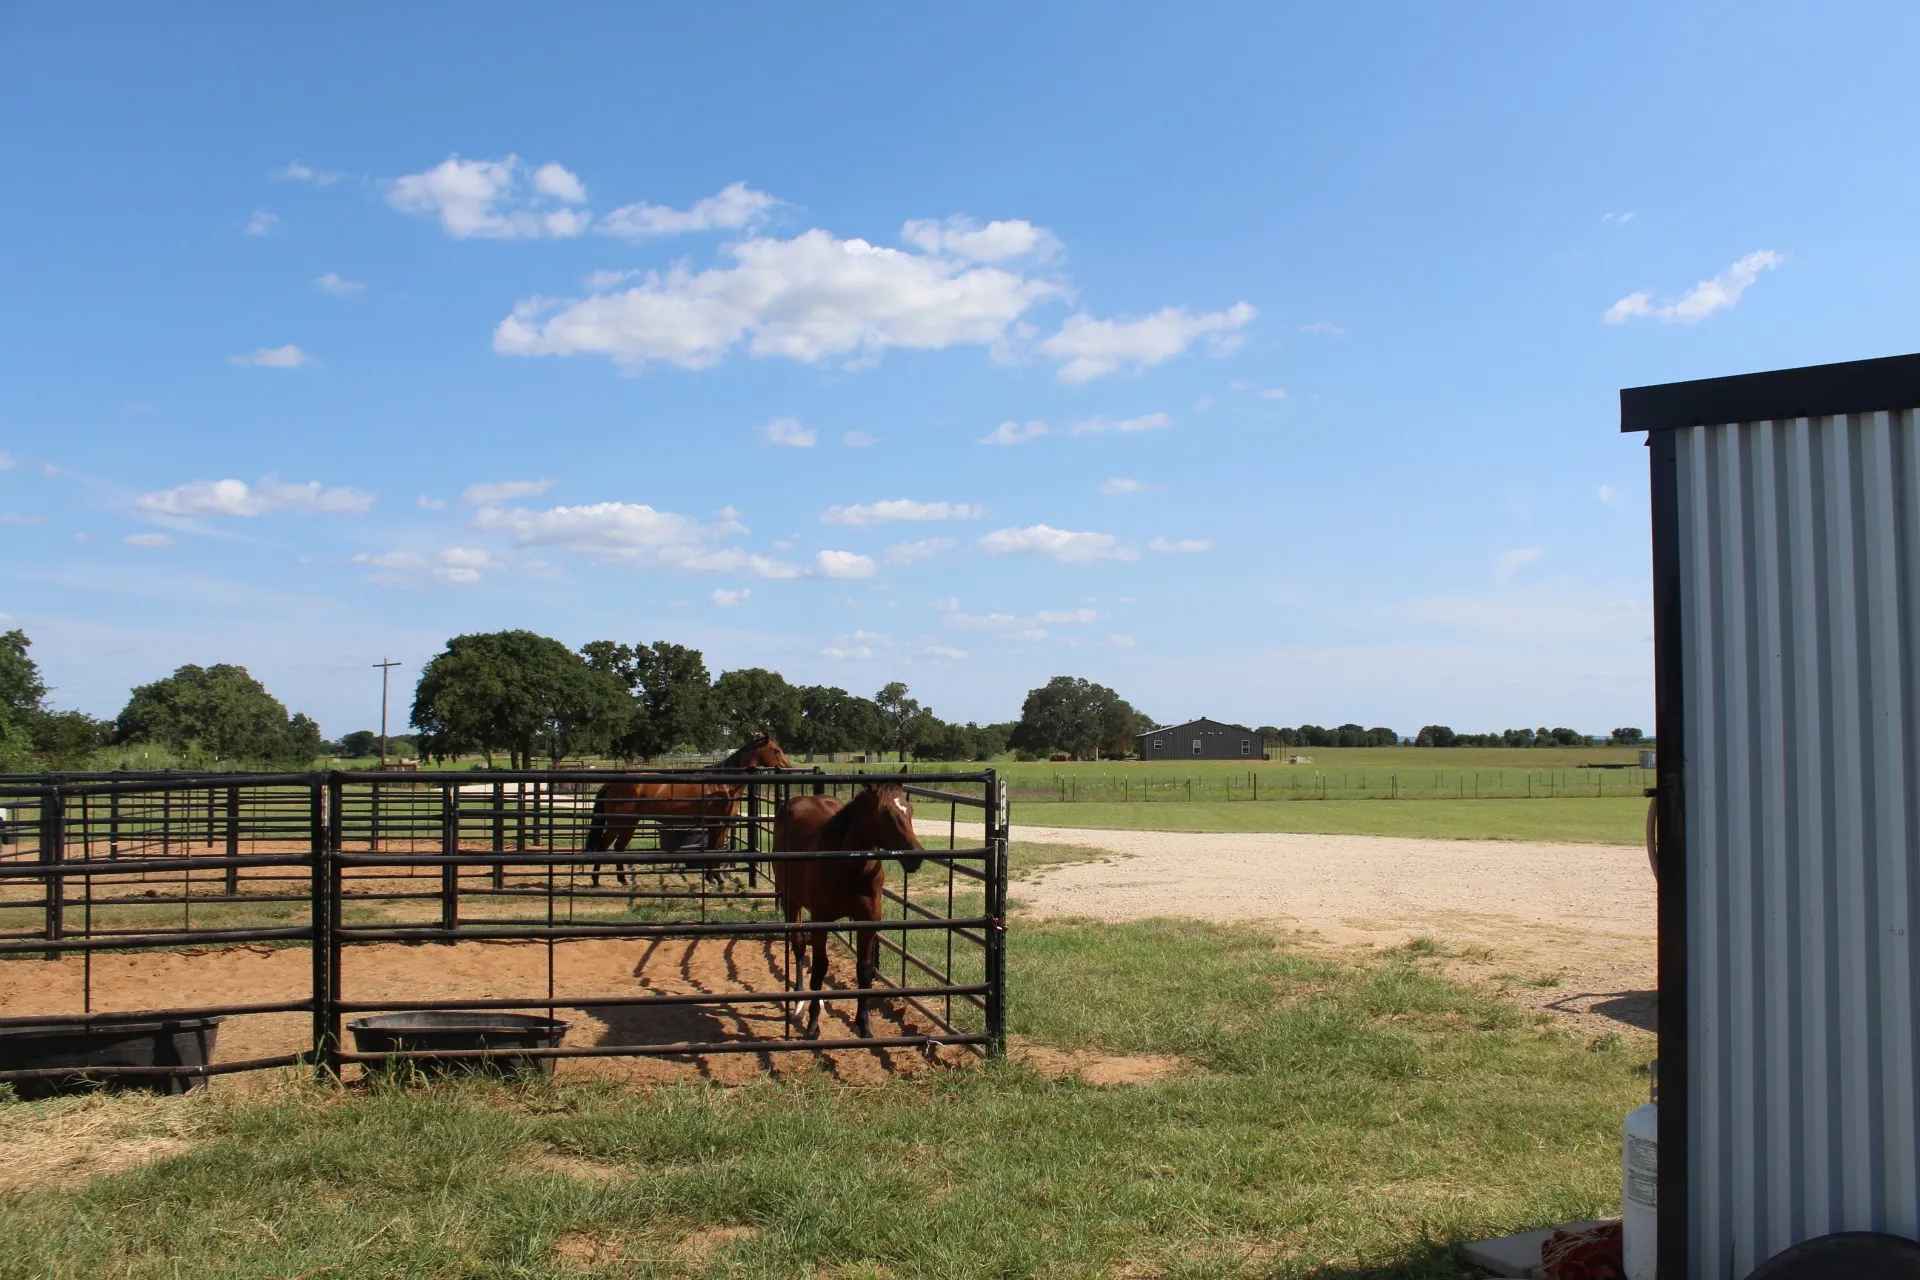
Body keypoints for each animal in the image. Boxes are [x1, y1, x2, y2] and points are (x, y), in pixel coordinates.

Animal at [583, 734, 792, 886]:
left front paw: (715, 878)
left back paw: (622, 880)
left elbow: (715, 848)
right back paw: (596, 880)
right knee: (604, 847)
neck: (723, 784)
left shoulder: (722, 824)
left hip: (629, 824)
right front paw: (714, 879)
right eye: (776, 750)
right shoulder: (717, 823)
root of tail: (612, 783)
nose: (789, 768)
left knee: (618, 847)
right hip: (618, 823)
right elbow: (714, 849)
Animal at [771, 777, 924, 1038]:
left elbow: (864, 969)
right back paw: (800, 1003)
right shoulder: (820, 919)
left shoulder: (869, 921)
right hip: (792, 901)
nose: (915, 857)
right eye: (885, 812)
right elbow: (820, 968)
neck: (848, 867)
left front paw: (864, 1025)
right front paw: (813, 1024)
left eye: (909, 809)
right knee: (799, 946)